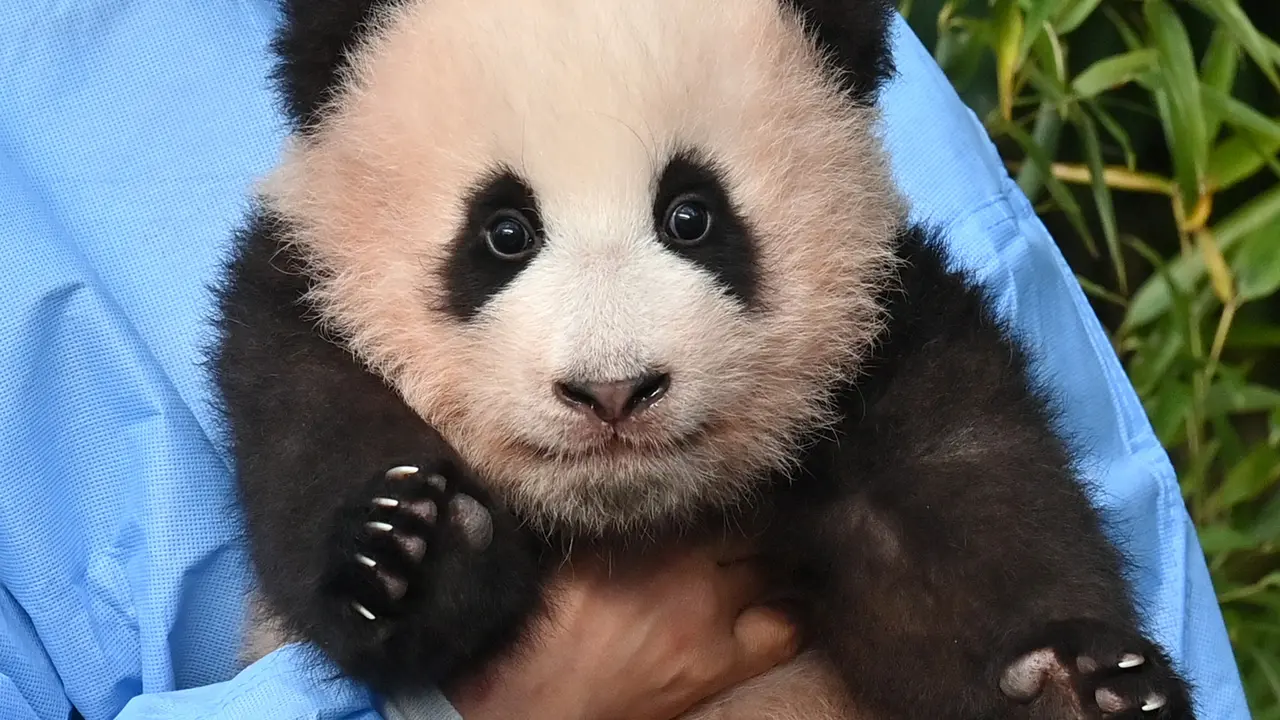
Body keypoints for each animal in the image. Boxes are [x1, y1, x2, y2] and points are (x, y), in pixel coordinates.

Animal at [210, 0, 1198, 718]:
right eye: (504, 231)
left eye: (691, 215)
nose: (613, 391)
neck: (631, 516)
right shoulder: (297, 307)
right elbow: (312, 432)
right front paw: (407, 546)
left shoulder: (884, 335)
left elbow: (968, 507)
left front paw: (1077, 686)